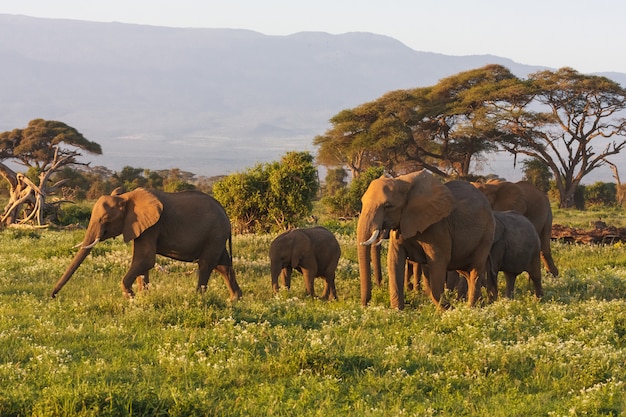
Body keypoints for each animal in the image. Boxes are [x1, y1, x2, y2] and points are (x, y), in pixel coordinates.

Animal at [51, 188, 243, 300]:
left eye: (106, 219)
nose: (53, 296)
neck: (126, 197)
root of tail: (227, 216)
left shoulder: (152, 226)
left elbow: (145, 259)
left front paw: (130, 296)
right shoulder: (139, 227)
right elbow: (142, 262)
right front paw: (143, 298)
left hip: (216, 233)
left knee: (206, 264)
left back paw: (198, 298)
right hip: (217, 236)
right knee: (223, 265)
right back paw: (235, 300)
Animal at [358, 170, 494, 308]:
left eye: (388, 206)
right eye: (362, 203)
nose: (365, 305)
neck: (403, 183)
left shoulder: (438, 227)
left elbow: (438, 262)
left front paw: (446, 309)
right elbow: (394, 260)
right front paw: (397, 310)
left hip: (486, 235)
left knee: (475, 269)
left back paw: (471, 307)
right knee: (466, 272)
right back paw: (479, 305)